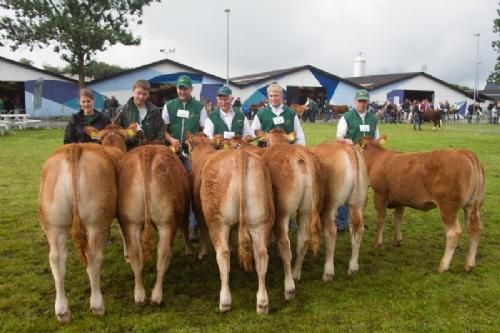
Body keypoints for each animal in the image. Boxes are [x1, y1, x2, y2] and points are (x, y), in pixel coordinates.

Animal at [118, 144, 190, 304]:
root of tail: (147, 151)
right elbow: (185, 229)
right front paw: (189, 251)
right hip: (166, 223)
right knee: (163, 254)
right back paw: (156, 296)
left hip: (130, 222)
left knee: (135, 254)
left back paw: (139, 295)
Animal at [187, 132, 274, 312]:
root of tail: (241, 156)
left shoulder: (199, 210)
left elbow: (203, 231)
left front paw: (202, 253)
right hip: (261, 222)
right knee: (261, 255)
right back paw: (262, 303)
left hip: (218, 222)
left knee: (222, 254)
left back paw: (225, 301)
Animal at [362, 136, 486, 272]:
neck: (377, 159)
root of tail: (464, 152)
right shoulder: (400, 199)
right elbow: (397, 219)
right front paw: (397, 240)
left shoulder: (379, 195)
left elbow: (380, 220)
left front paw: (377, 242)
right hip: (473, 205)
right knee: (475, 228)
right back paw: (469, 264)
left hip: (448, 207)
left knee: (453, 233)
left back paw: (443, 265)